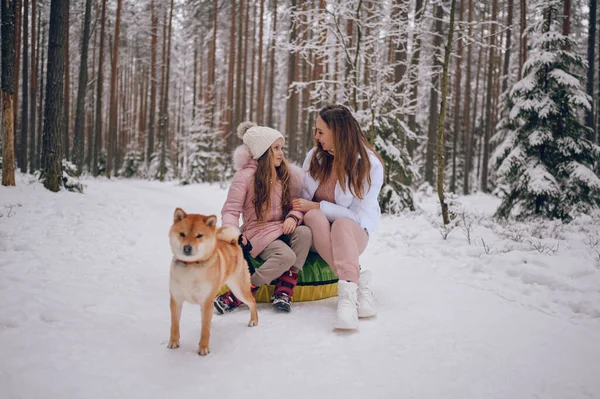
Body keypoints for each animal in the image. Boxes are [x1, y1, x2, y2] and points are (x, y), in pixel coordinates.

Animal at [168, 209, 256, 356]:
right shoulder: (176, 299)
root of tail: (233, 243)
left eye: (199, 236)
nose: (187, 248)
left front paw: (203, 348)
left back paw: (254, 320)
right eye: (182, 234)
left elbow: (204, 330)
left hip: (238, 289)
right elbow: (174, 324)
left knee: (252, 301)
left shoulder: (206, 301)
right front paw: (174, 342)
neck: (191, 267)